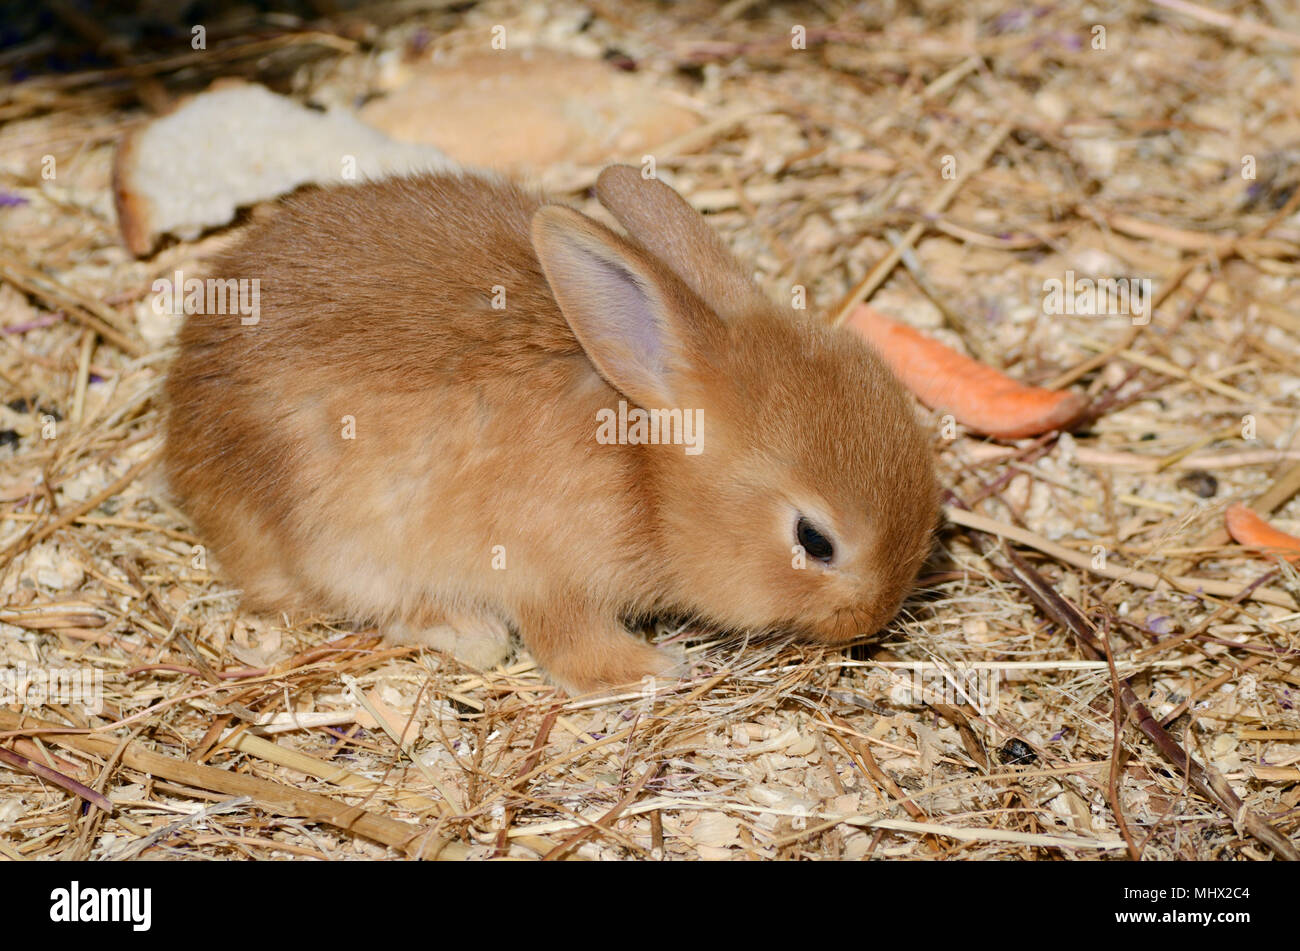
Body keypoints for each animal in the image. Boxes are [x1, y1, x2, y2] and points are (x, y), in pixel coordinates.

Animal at [162, 164, 941, 691]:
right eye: (815, 541)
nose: (873, 617)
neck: (647, 470)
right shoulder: (550, 575)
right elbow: (572, 645)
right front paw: (656, 668)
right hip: (340, 539)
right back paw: (471, 634)